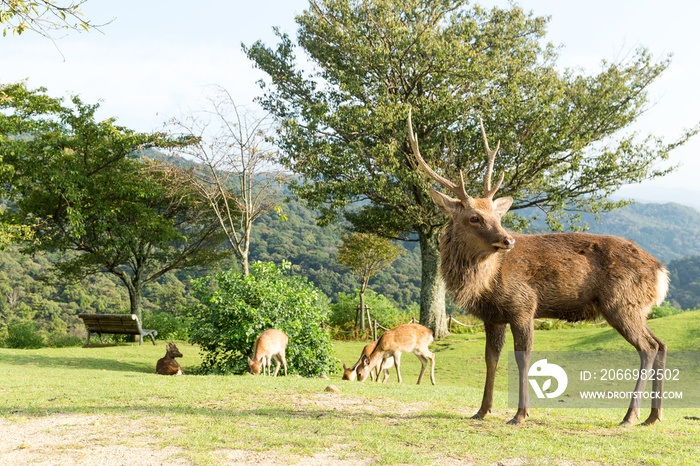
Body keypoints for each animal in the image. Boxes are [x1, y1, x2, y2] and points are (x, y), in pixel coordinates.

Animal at [408, 110, 668, 426]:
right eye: (474, 217)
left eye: (497, 215)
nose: (508, 240)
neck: (486, 283)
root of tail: (661, 272)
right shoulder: (492, 316)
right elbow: (490, 358)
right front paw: (482, 410)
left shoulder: (523, 304)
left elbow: (523, 358)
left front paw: (520, 414)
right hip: (637, 307)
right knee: (661, 344)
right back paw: (653, 416)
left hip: (621, 303)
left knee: (648, 348)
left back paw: (630, 415)